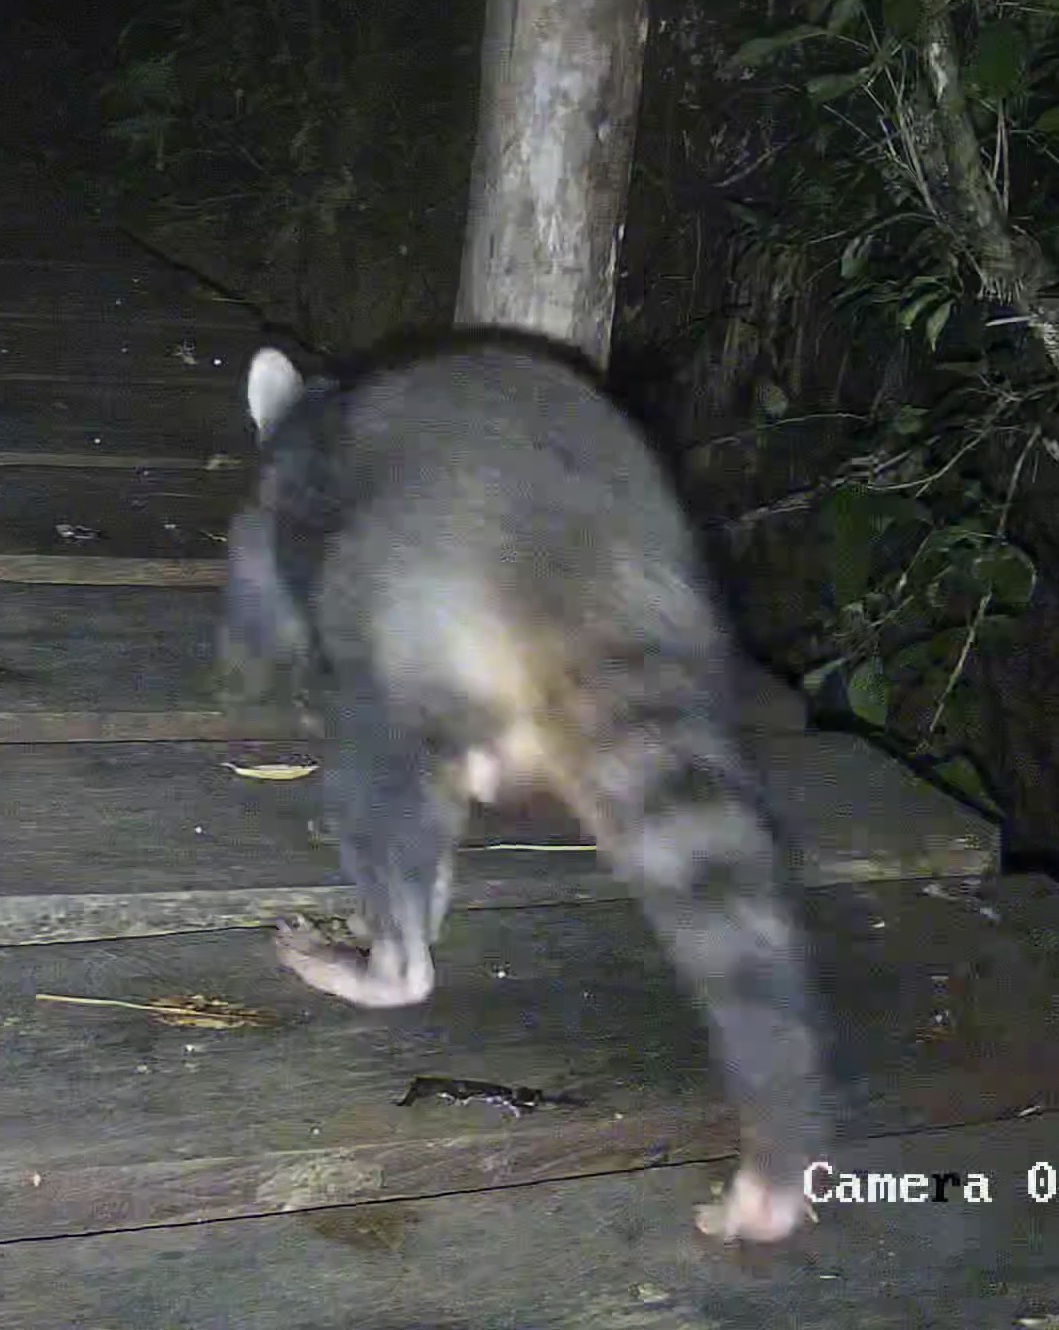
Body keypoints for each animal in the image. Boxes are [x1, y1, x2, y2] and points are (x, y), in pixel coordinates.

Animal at [220, 330, 828, 1245]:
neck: (320, 407)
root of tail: (589, 565)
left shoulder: (292, 510)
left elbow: (265, 587)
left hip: (411, 607)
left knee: (376, 781)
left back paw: (388, 964)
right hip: (684, 615)